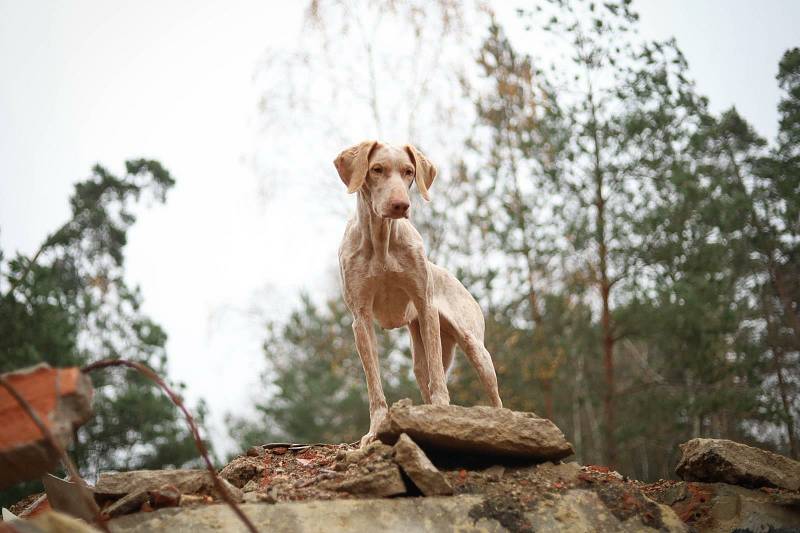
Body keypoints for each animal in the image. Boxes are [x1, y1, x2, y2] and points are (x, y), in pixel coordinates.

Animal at [334, 140, 504, 444]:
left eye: (409, 171)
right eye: (376, 169)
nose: (400, 205)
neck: (382, 242)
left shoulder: (425, 307)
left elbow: (438, 380)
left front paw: (443, 414)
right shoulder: (361, 319)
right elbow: (373, 383)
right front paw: (375, 429)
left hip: (475, 347)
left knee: (496, 398)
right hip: (418, 359)